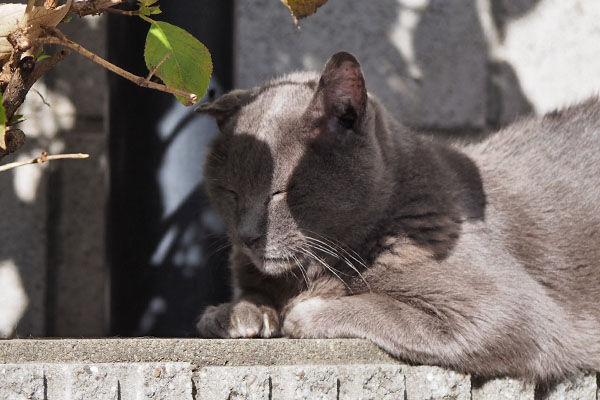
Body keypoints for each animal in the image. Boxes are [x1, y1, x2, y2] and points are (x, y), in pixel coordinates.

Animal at [196, 51, 600, 382]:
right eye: (230, 192)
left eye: (278, 192)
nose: (247, 236)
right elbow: (253, 291)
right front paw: (231, 314)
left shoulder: (508, 310)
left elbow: (380, 308)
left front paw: (301, 312)